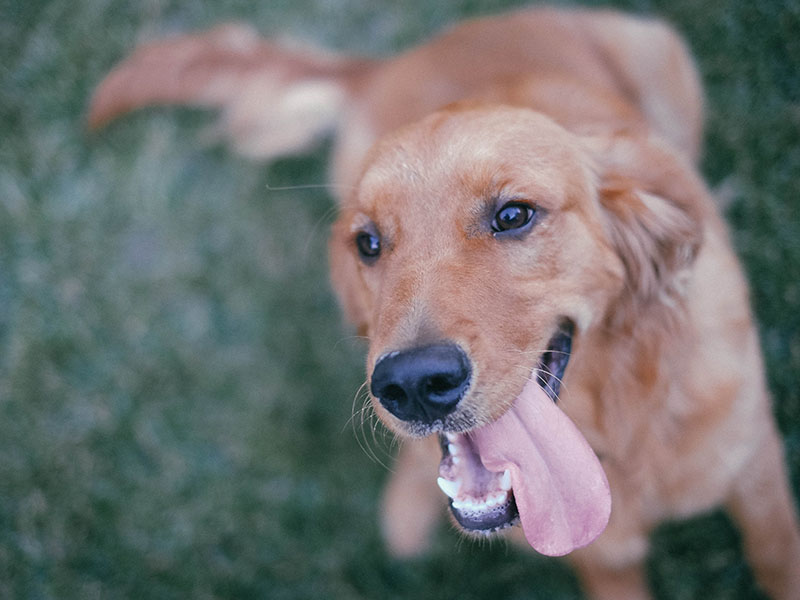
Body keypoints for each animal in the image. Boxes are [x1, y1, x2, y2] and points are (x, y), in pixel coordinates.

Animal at [90, 5, 800, 600]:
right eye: (368, 242)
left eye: (514, 214)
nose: (411, 385)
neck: (617, 429)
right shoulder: (600, 556)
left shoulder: (757, 466)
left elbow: (777, 554)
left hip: (660, 52)